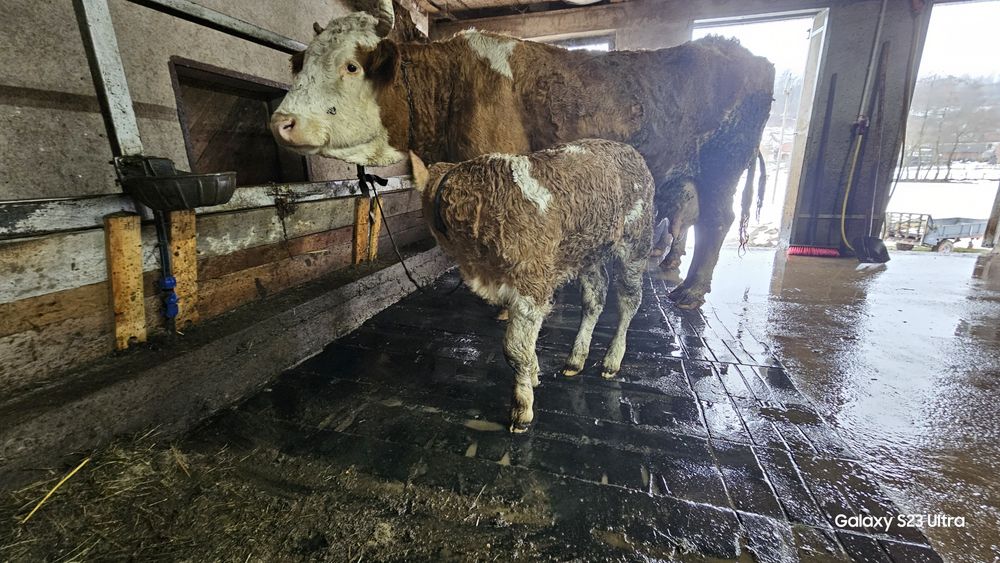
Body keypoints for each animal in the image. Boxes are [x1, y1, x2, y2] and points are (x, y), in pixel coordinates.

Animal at [270, 1, 774, 309]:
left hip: (723, 164)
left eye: (351, 66)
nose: (281, 122)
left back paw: (690, 291)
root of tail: (741, 52)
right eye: (301, 63)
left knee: (716, 220)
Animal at [408, 139, 654, 431]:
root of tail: (630, 150)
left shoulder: (531, 283)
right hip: (587, 251)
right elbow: (525, 345)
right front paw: (534, 373)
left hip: (636, 243)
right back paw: (575, 359)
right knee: (595, 297)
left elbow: (515, 348)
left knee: (629, 300)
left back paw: (611, 361)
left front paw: (522, 409)